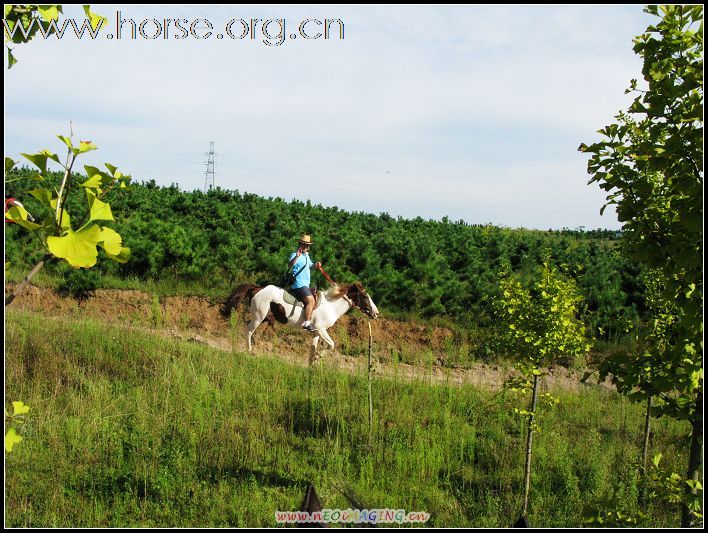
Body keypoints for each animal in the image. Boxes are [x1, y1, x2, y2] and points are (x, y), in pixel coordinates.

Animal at [223, 282, 382, 362]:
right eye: (365, 296)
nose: (376, 313)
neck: (330, 305)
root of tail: (257, 288)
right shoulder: (321, 329)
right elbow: (331, 345)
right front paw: (318, 357)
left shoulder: (316, 333)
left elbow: (313, 349)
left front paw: (312, 364)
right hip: (259, 317)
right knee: (249, 330)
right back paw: (249, 351)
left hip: (263, 318)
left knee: (248, 327)